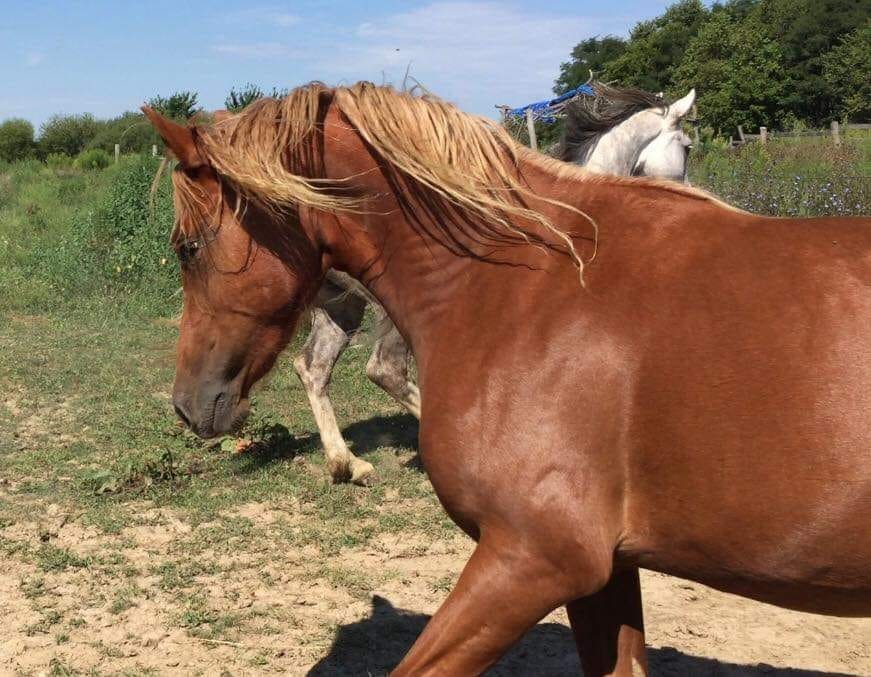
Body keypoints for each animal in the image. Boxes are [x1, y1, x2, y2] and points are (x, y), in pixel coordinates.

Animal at [296, 83, 700, 486]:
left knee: (313, 367)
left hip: (342, 306)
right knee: (384, 370)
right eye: (687, 146)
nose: (694, 196)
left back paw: (348, 464)